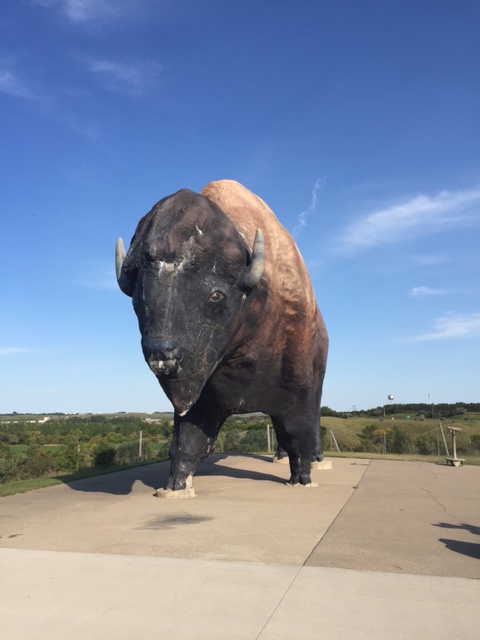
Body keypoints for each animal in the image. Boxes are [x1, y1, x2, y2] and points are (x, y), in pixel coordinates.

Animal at [115, 180, 328, 496]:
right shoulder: (198, 403)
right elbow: (187, 445)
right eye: (135, 301)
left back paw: (316, 459)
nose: (162, 356)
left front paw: (302, 478)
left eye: (216, 295)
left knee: (311, 425)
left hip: (317, 382)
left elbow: (298, 437)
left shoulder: (297, 392)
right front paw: (176, 486)